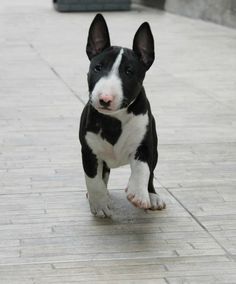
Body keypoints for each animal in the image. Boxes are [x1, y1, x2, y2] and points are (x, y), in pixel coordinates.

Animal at [79, 13, 166, 217]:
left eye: (129, 72)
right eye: (98, 68)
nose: (105, 99)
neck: (114, 120)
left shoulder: (145, 144)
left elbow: (143, 169)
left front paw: (139, 194)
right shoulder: (88, 151)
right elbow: (93, 180)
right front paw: (100, 203)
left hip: (156, 149)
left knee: (151, 172)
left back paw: (152, 196)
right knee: (102, 176)